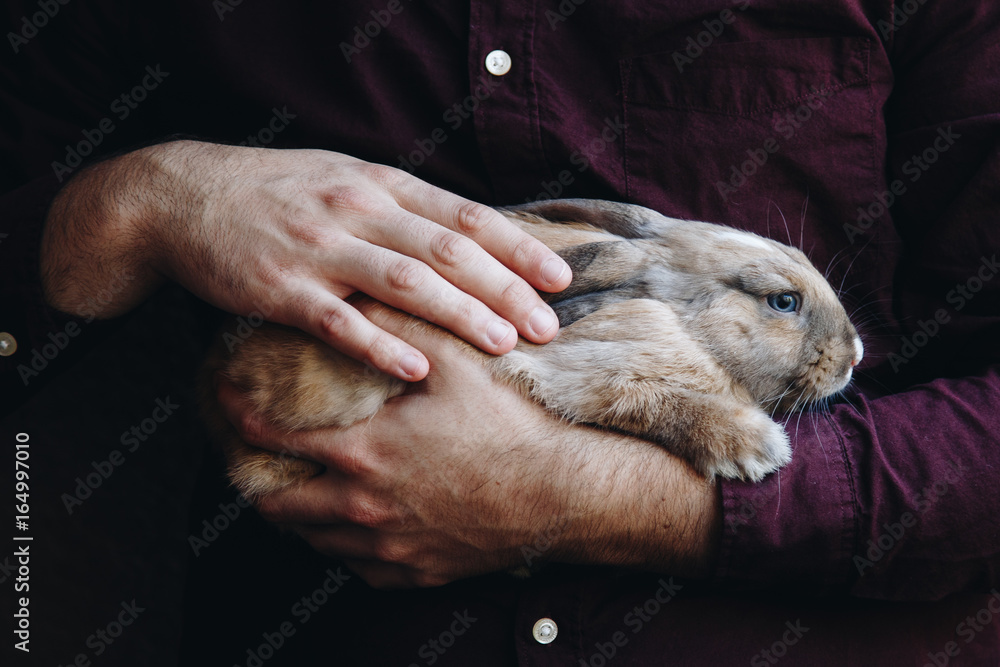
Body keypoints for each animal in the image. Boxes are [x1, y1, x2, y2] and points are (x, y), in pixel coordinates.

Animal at [199, 200, 864, 500]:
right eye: (783, 302)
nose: (855, 355)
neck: (684, 325)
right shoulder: (578, 376)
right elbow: (656, 404)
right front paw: (755, 449)